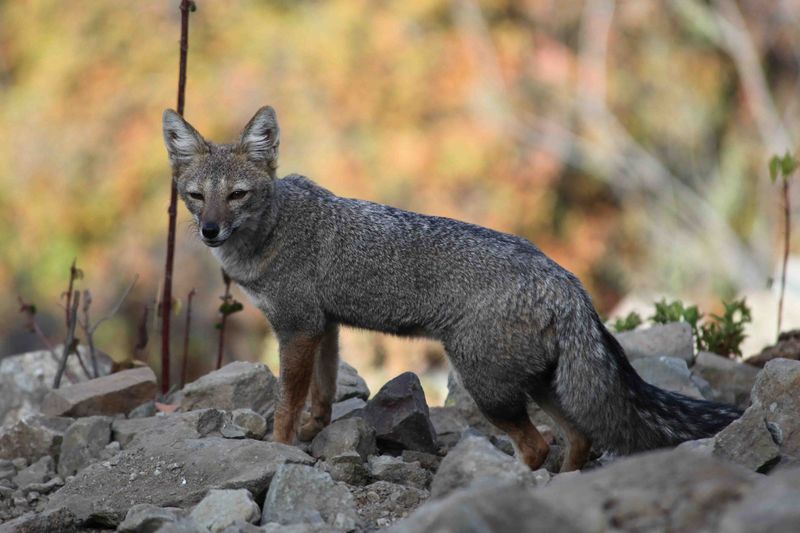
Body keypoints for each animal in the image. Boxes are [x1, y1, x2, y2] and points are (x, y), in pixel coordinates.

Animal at [162, 105, 742, 472]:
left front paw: (280, 445)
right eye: (196, 196)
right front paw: (311, 433)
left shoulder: (297, 327)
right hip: (535, 385)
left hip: (488, 387)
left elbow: (286, 401)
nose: (209, 231)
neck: (274, 229)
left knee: (538, 447)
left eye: (237, 195)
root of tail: (565, 279)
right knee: (579, 438)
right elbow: (321, 394)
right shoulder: (323, 326)